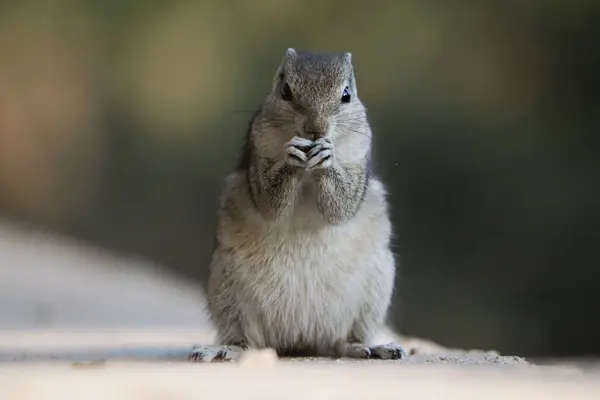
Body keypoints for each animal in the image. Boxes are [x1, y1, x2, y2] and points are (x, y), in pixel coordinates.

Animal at [190, 48, 406, 360]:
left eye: (346, 94)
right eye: (285, 91)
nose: (315, 130)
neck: (308, 172)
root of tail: (300, 338)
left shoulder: (360, 157)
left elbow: (343, 206)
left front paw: (327, 159)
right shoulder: (257, 149)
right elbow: (269, 202)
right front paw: (291, 156)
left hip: (373, 292)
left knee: (343, 341)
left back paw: (369, 347)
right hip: (227, 290)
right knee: (246, 339)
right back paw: (226, 348)